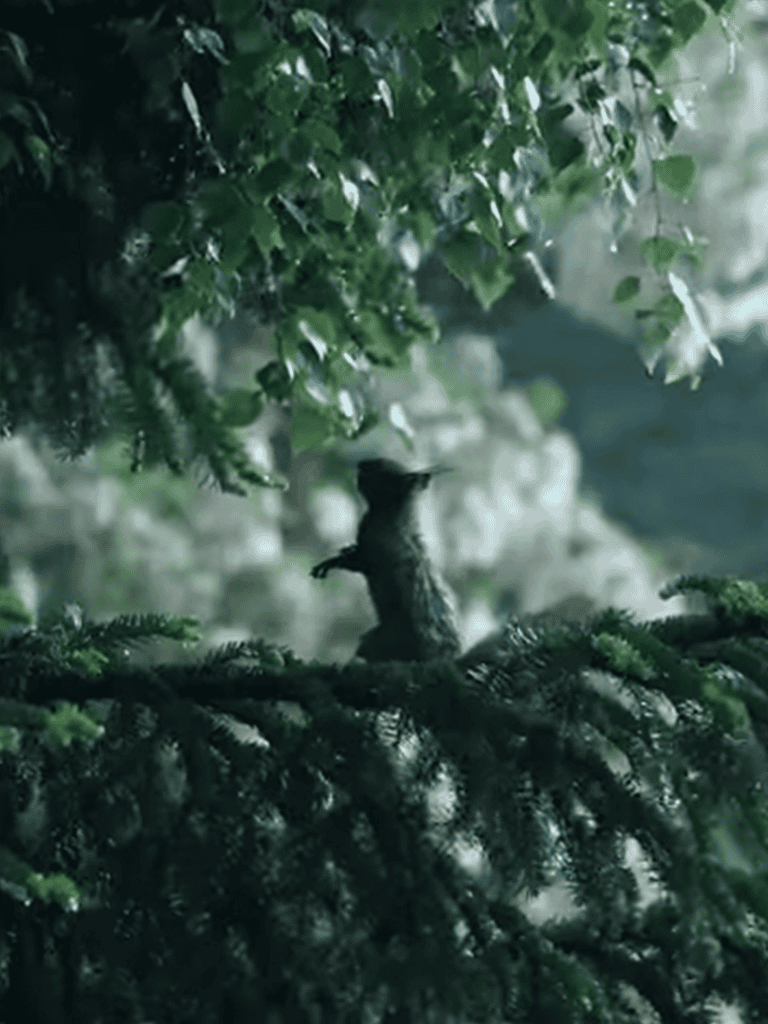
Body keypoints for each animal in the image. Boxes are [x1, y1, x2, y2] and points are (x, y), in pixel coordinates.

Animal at [311, 458, 462, 662]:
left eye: (379, 466)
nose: (360, 464)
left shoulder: (369, 557)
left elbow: (350, 561)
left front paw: (331, 562)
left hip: (383, 639)